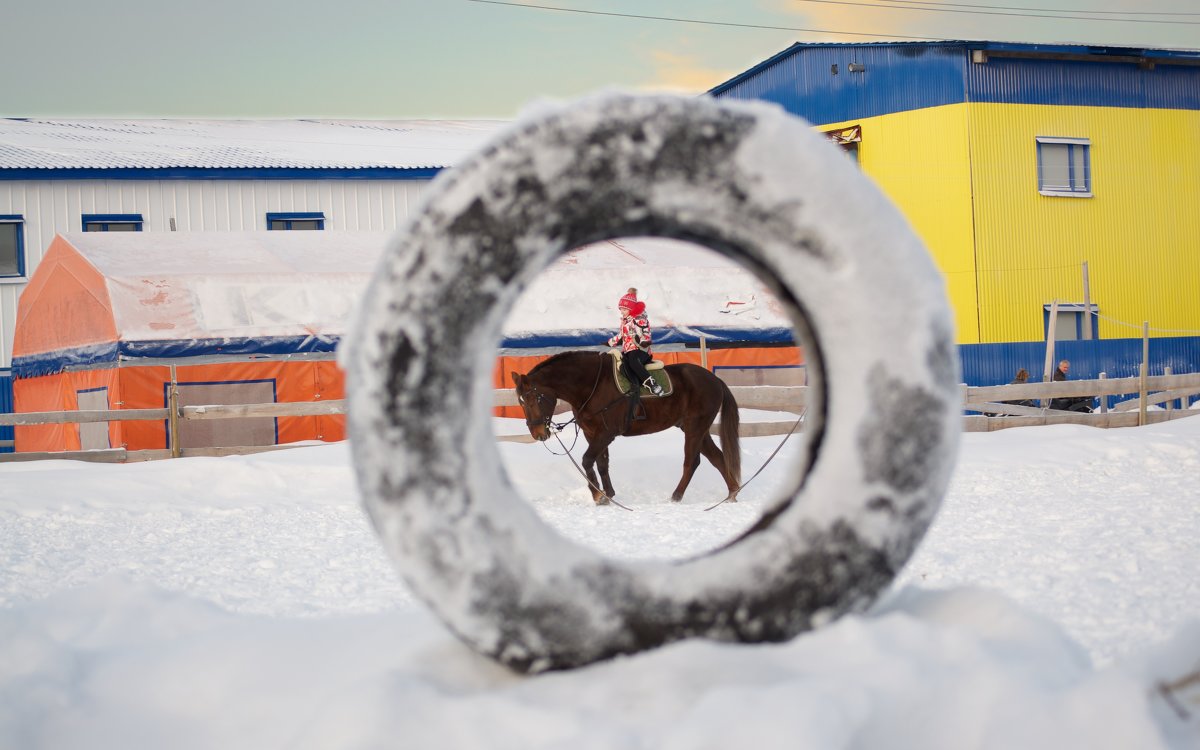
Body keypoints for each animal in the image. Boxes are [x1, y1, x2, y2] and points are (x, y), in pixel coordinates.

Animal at [508, 350, 739, 504]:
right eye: (520, 402)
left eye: (533, 399)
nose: (538, 433)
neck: (592, 385)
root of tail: (714, 380)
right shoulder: (592, 434)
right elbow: (601, 463)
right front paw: (608, 494)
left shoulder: (606, 433)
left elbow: (587, 460)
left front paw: (598, 495)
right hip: (697, 428)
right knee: (717, 458)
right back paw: (732, 493)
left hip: (695, 427)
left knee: (692, 462)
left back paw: (676, 496)